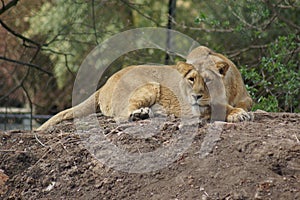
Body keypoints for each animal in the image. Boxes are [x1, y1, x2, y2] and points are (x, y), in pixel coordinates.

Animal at [37, 61, 209, 131]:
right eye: (192, 79)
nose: (198, 95)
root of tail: (104, 86)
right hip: (149, 85)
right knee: (121, 115)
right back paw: (141, 115)